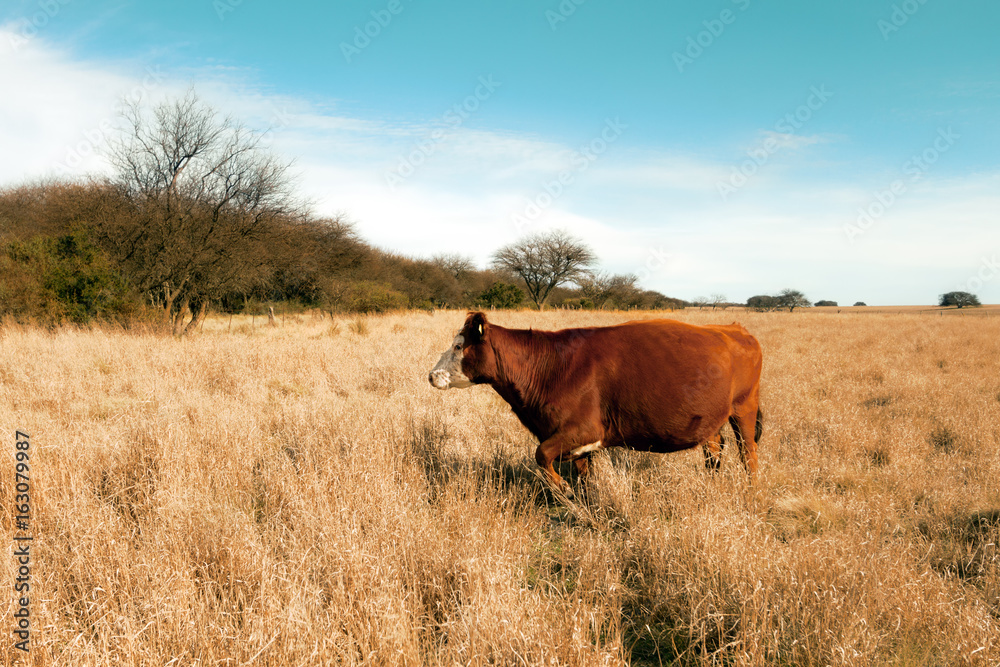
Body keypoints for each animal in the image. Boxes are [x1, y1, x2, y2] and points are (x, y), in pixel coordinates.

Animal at [430, 314, 764, 496]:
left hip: (744, 409)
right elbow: (583, 477)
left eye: (459, 346)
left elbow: (541, 454)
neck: (552, 367)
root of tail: (733, 328)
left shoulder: (584, 429)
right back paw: (712, 483)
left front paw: (563, 490)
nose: (432, 375)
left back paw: (751, 491)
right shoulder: (577, 443)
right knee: (714, 448)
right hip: (710, 419)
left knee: (748, 453)